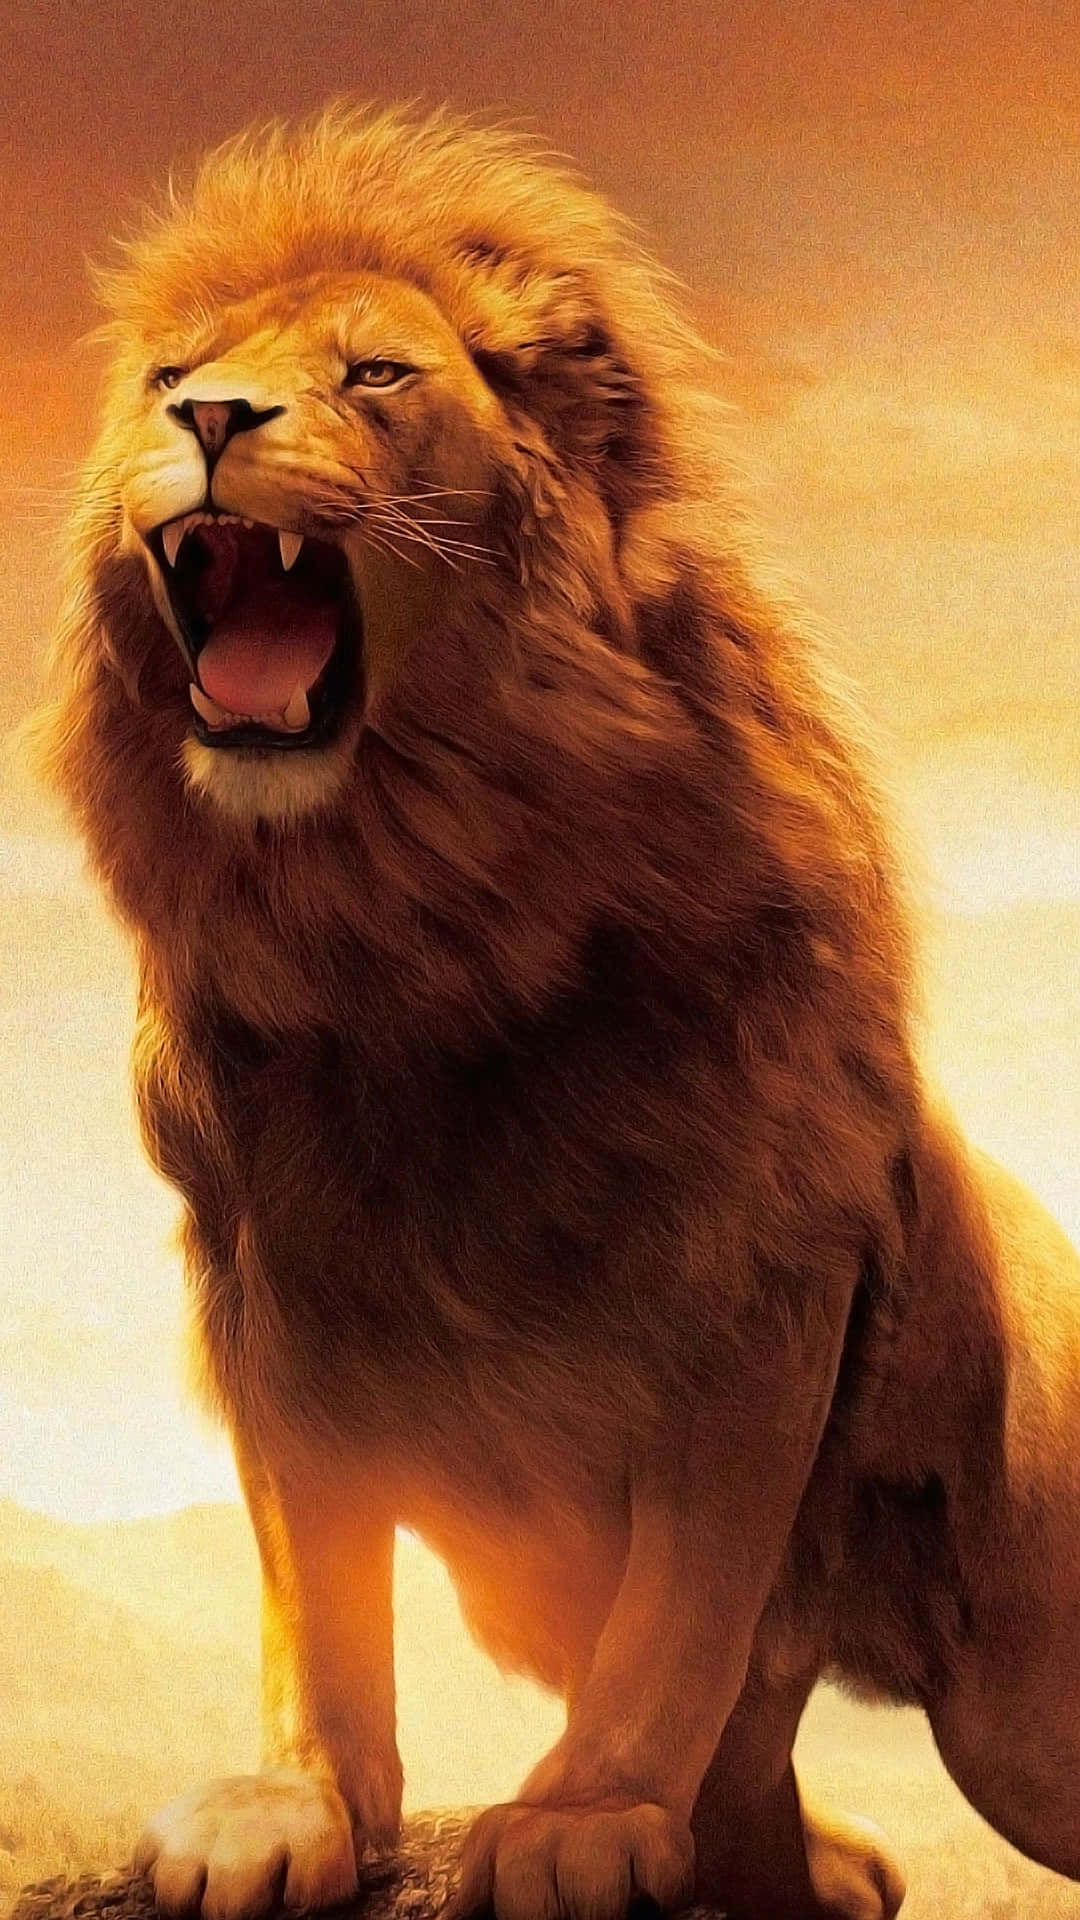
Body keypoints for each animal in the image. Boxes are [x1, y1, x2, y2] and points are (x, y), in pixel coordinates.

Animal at [22, 99, 1080, 1920]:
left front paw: (585, 1815)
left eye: (377, 373)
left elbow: (688, 1607)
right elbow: (317, 1594)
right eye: (168, 375)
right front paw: (294, 1806)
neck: (414, 922)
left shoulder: (761, 1282)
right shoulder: (277, 1290)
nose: (212, 419)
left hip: (1032, 1700)